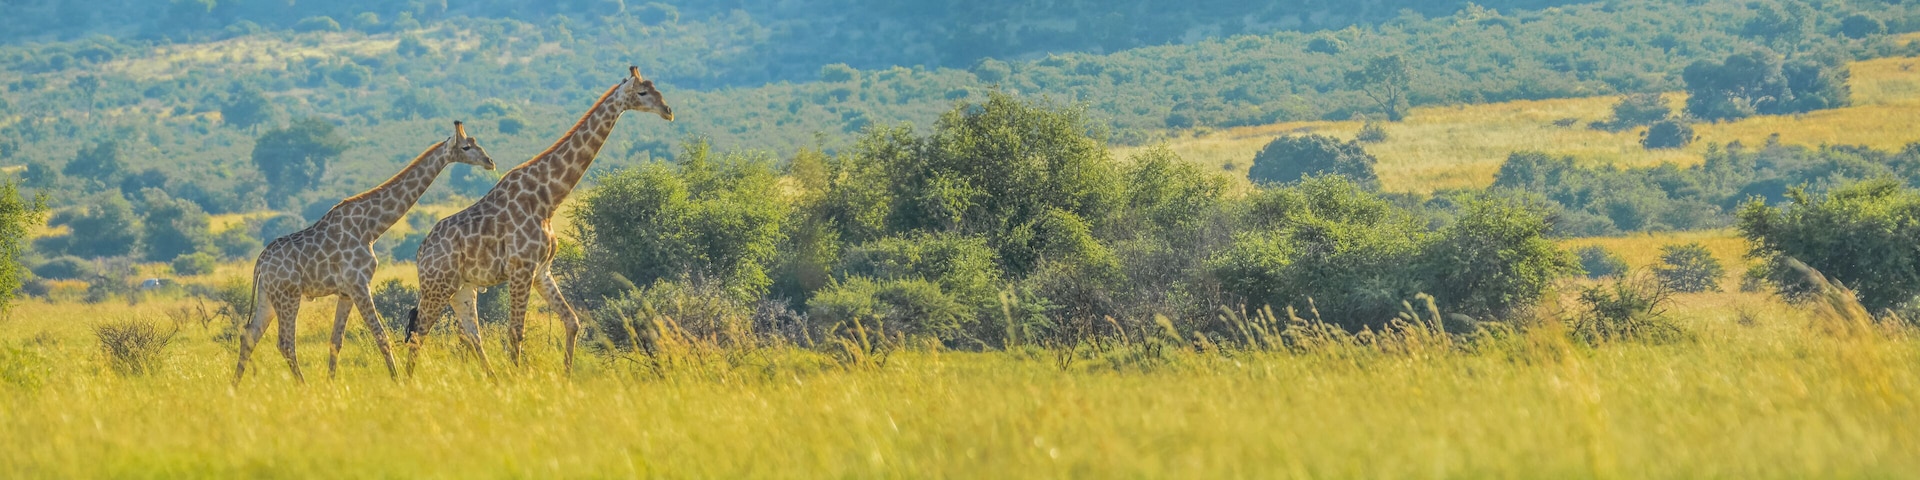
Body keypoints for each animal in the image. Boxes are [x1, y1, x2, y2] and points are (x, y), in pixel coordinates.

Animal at [234, 121, 497, 383]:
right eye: (466, 146)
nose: (490, 161)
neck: (370, 228)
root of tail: (260, 261)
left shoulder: (345, 292)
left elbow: (335, 341)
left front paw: (331, 383)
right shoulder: (360, 284)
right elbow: (381, 336)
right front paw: (397, 381)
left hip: (268, 296)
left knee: (250, 335)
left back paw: (235, 385)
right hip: (288, 295)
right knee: (286, 343)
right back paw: (303, 386)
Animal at [404, 66, 673, 376]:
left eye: (656, 88)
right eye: (642, 92)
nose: (668, 111)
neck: (548, 198)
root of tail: (420, 254)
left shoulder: (542, 269)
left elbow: (572, 321)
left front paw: (566, 376)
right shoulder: (521, 269)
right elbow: (515, 331)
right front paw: (518, 378)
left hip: (461, 289)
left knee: (470, 335)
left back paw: (491, 378)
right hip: (438, 286)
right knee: (419, 332)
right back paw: (408, 381)